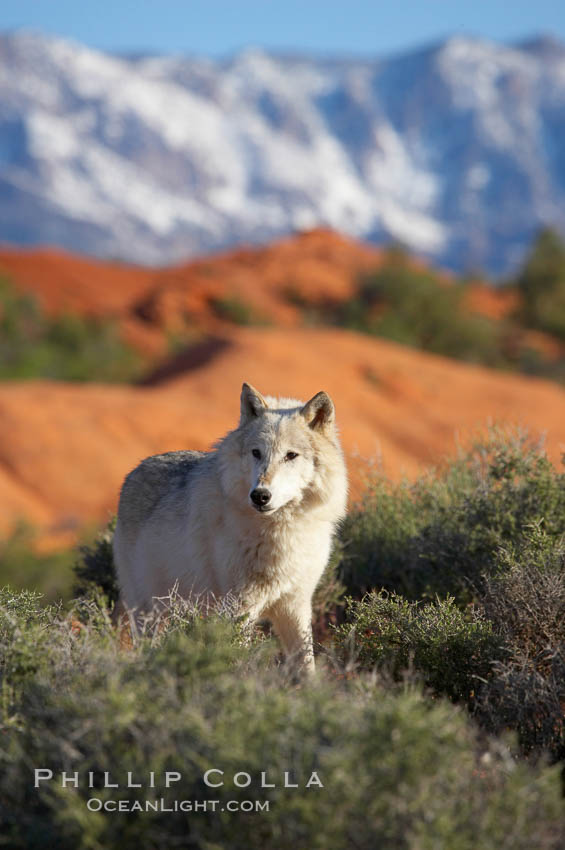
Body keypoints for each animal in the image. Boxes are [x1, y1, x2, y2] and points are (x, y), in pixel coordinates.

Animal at [112, 382, 346, 668]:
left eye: (291, 455)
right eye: (257, 453)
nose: (260, 495)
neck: (281, 533)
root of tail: (134, 470)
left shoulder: (296, 605)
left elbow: (307, 664)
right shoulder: (239, 608)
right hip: (149, 611)